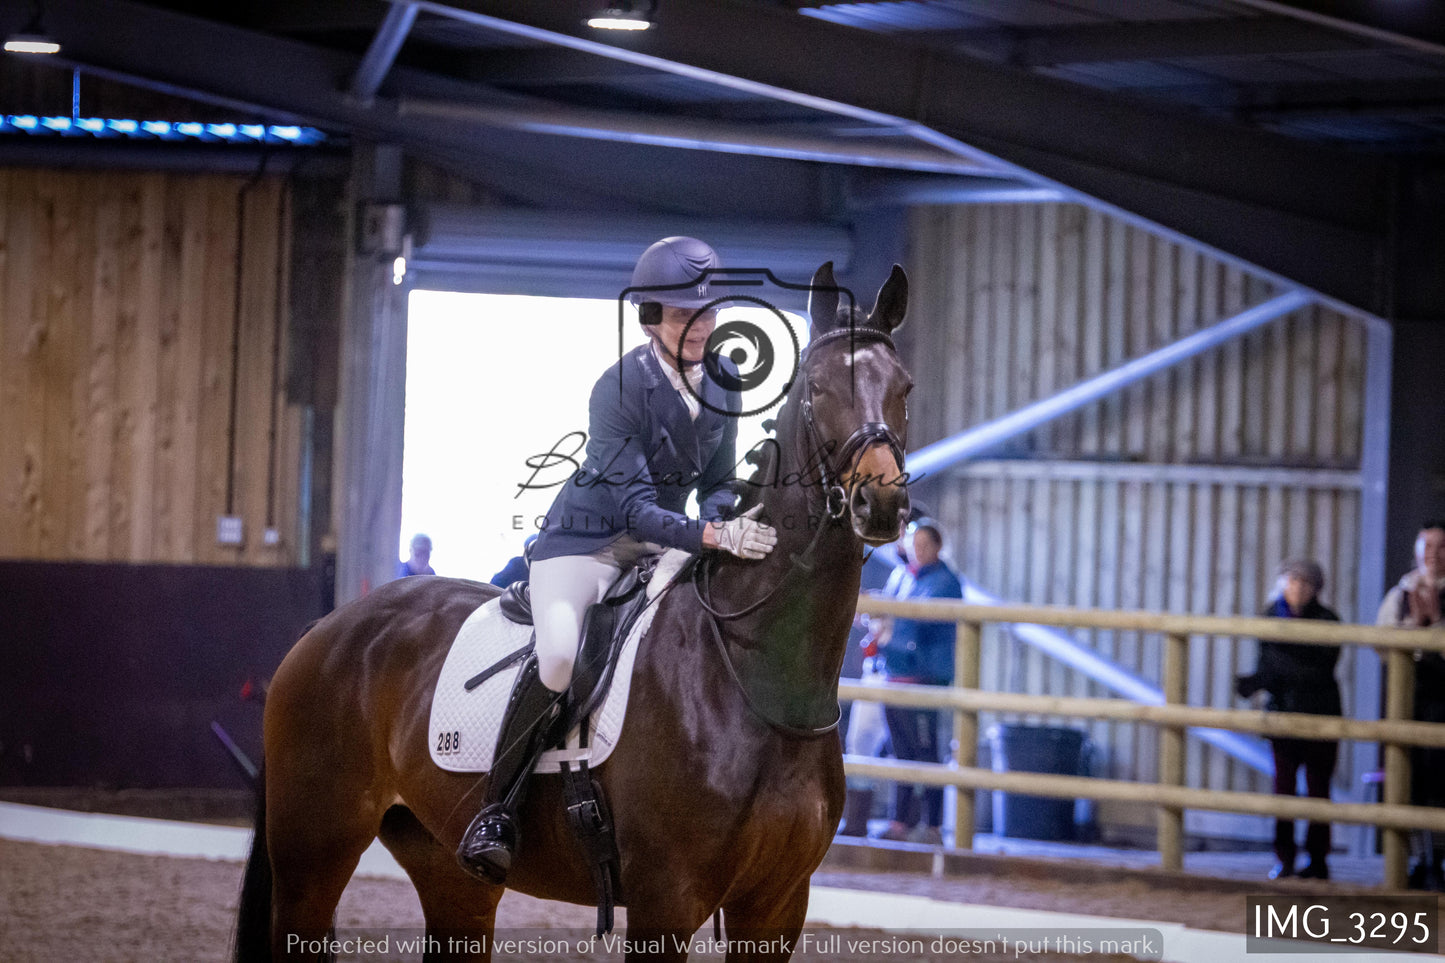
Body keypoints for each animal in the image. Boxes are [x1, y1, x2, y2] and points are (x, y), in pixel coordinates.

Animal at [236, 263, 913, 960]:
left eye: (904, 387)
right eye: (819, 388)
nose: (881, 503)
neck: (756, 678)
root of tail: (330, 627)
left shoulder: (777, 906)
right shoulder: (667, 898)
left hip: (447, 869)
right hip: (313, 853)